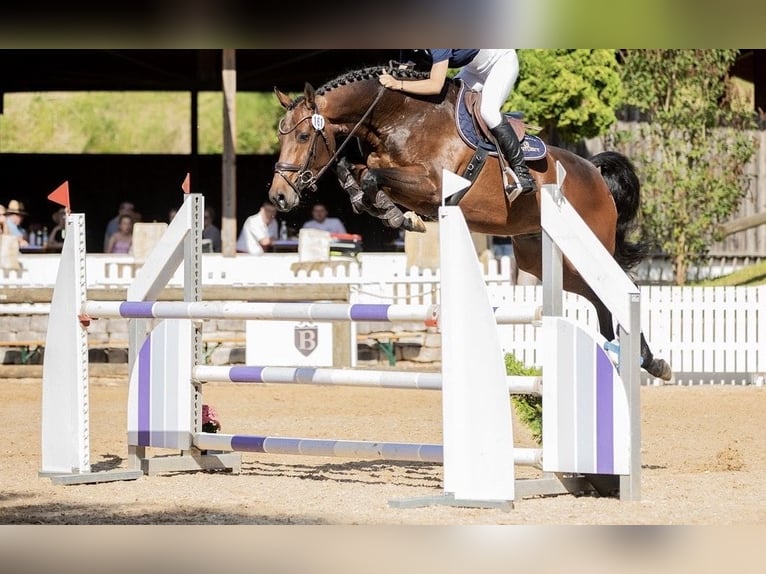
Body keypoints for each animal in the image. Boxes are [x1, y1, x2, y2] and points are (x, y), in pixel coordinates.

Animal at [269, 65, 672, 382]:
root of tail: (596, 175)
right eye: (280, 136)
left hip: (586, 246)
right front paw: (381, 208)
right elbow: (355, 171)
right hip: (540, 257)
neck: (401, 118)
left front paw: (396, 215)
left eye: (303, 136)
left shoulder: (433, 185)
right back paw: (631, 355)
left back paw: (645, 359)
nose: (279, 197)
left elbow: (371, 177)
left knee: (619, 285)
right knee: (597, 294)